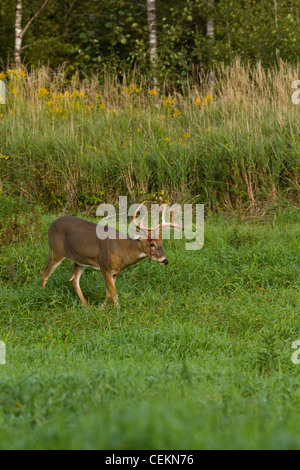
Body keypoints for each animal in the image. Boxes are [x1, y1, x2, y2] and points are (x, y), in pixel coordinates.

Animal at [41, 203, 183, 308]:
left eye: (161, 243)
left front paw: (102, 308)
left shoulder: (116, 272)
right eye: (152, 244)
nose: (165, 260)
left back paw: (86, 306)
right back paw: (42, 295)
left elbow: (109, 293)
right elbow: (114, 294)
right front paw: (118, 311)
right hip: (56, 251)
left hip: (79, 261)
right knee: (45, 273)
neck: (123, 251)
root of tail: (51, 225)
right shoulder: (105, 267)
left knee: (73, 279)